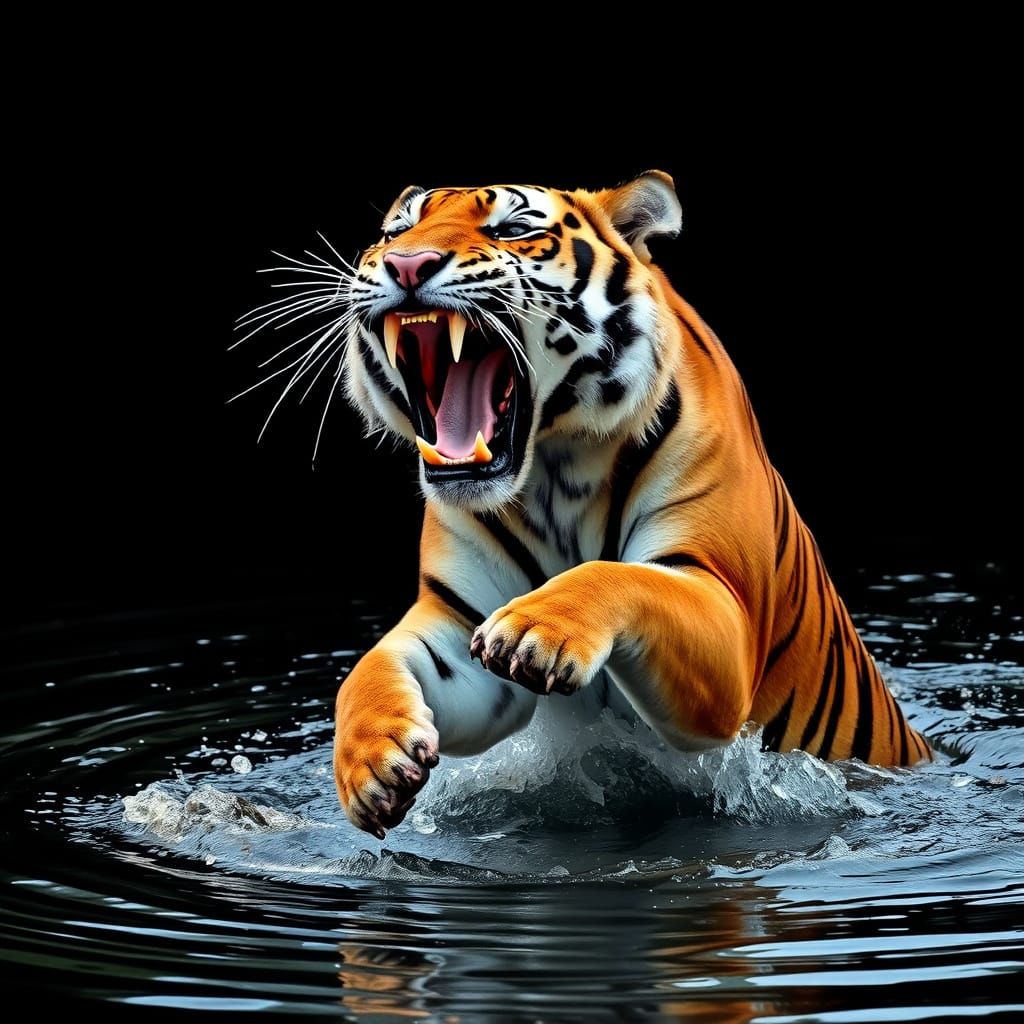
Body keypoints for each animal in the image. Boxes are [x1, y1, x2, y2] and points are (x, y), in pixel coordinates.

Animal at [328, 171, 930, 838]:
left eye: (514, 228)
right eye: (396, 232)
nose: (408, 264)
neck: (553, 475)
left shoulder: (721, 601)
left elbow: (617, 575)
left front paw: (533, 628)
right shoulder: (458, 626)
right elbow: (367, 670)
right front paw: (371, 762)